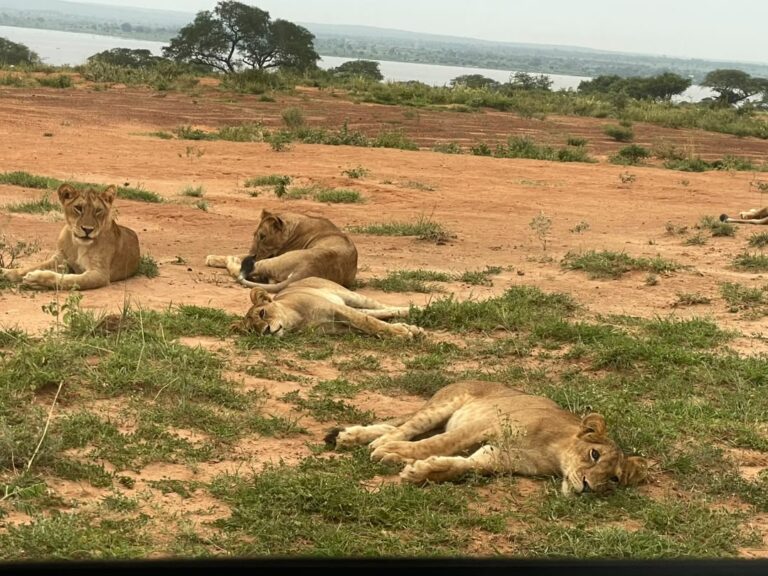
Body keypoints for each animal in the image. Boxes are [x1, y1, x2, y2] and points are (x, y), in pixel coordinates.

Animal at [1, 183, 140, 290]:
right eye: (78, 208)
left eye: (98, 210)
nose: (87, 229)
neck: (78, 244)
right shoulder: (59, 258)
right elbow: (32, 267)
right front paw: (6, 272)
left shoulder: (100, 274)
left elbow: (69, 280)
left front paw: (36, 279)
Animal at [206, 210, 358, 292]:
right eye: (254, 235)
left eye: (262, 236)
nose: (253, 253)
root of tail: (306, 271)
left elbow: (240, 255)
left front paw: (211, 258)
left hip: (276, 261)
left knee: (239, 271)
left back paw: (233, 261)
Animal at [235, 276, 424, 339]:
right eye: (251, 330)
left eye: (262, 312)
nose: (265, 331)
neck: (296, 321)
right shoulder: (337, 328)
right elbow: (368, 325)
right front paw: (407, 330)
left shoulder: (336, 309)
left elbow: (368, 322)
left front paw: (402, 332)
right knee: (377, 312)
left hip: (352, 296)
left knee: (382, 307)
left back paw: (419, 310)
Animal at [327, 380, 648, 495]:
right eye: (594, 454)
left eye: (614, 478)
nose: (590, 488)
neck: (553, 453)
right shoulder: (486, 425)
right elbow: (443, 444)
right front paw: (394, 454)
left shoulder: (496, 456)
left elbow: (459, 466)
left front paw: (420, 472)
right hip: (442, 407)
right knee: (409, 427)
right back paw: (380, 444)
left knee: (400, 425)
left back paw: (351, 436)